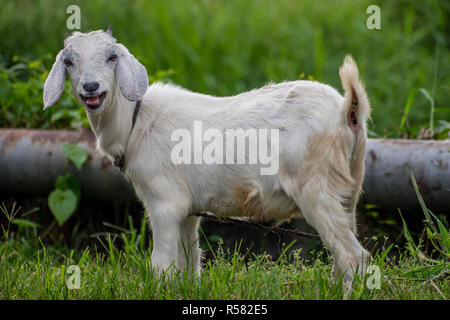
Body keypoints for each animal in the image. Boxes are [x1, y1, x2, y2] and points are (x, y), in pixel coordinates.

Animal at [44, 28, 370, 288]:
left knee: (353, 256)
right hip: (348, 190)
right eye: (69, 62)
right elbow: (190, 261)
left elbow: (161, 264)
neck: (135, 122)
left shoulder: (164, 203)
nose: (91, 88)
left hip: (316, 190)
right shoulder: (188, 210)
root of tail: (348, 110)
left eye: (112, 57)